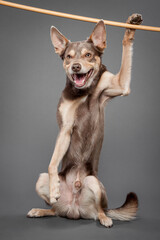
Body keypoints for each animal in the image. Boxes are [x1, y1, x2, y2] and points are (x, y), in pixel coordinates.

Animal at [27, 13, 142, 229]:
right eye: (68, 57)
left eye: (88, 55)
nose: (76, 67)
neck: (83, 92)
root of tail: (74, 210)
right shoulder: (65, 129)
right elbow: (52, 164)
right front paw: (54, 188)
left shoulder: (119, 85)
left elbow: (126, 47)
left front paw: (131, 27)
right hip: (41, 180)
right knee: (55, 209)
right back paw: (42, 209)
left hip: (93, 183)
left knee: (99, 211)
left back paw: (105, 218)